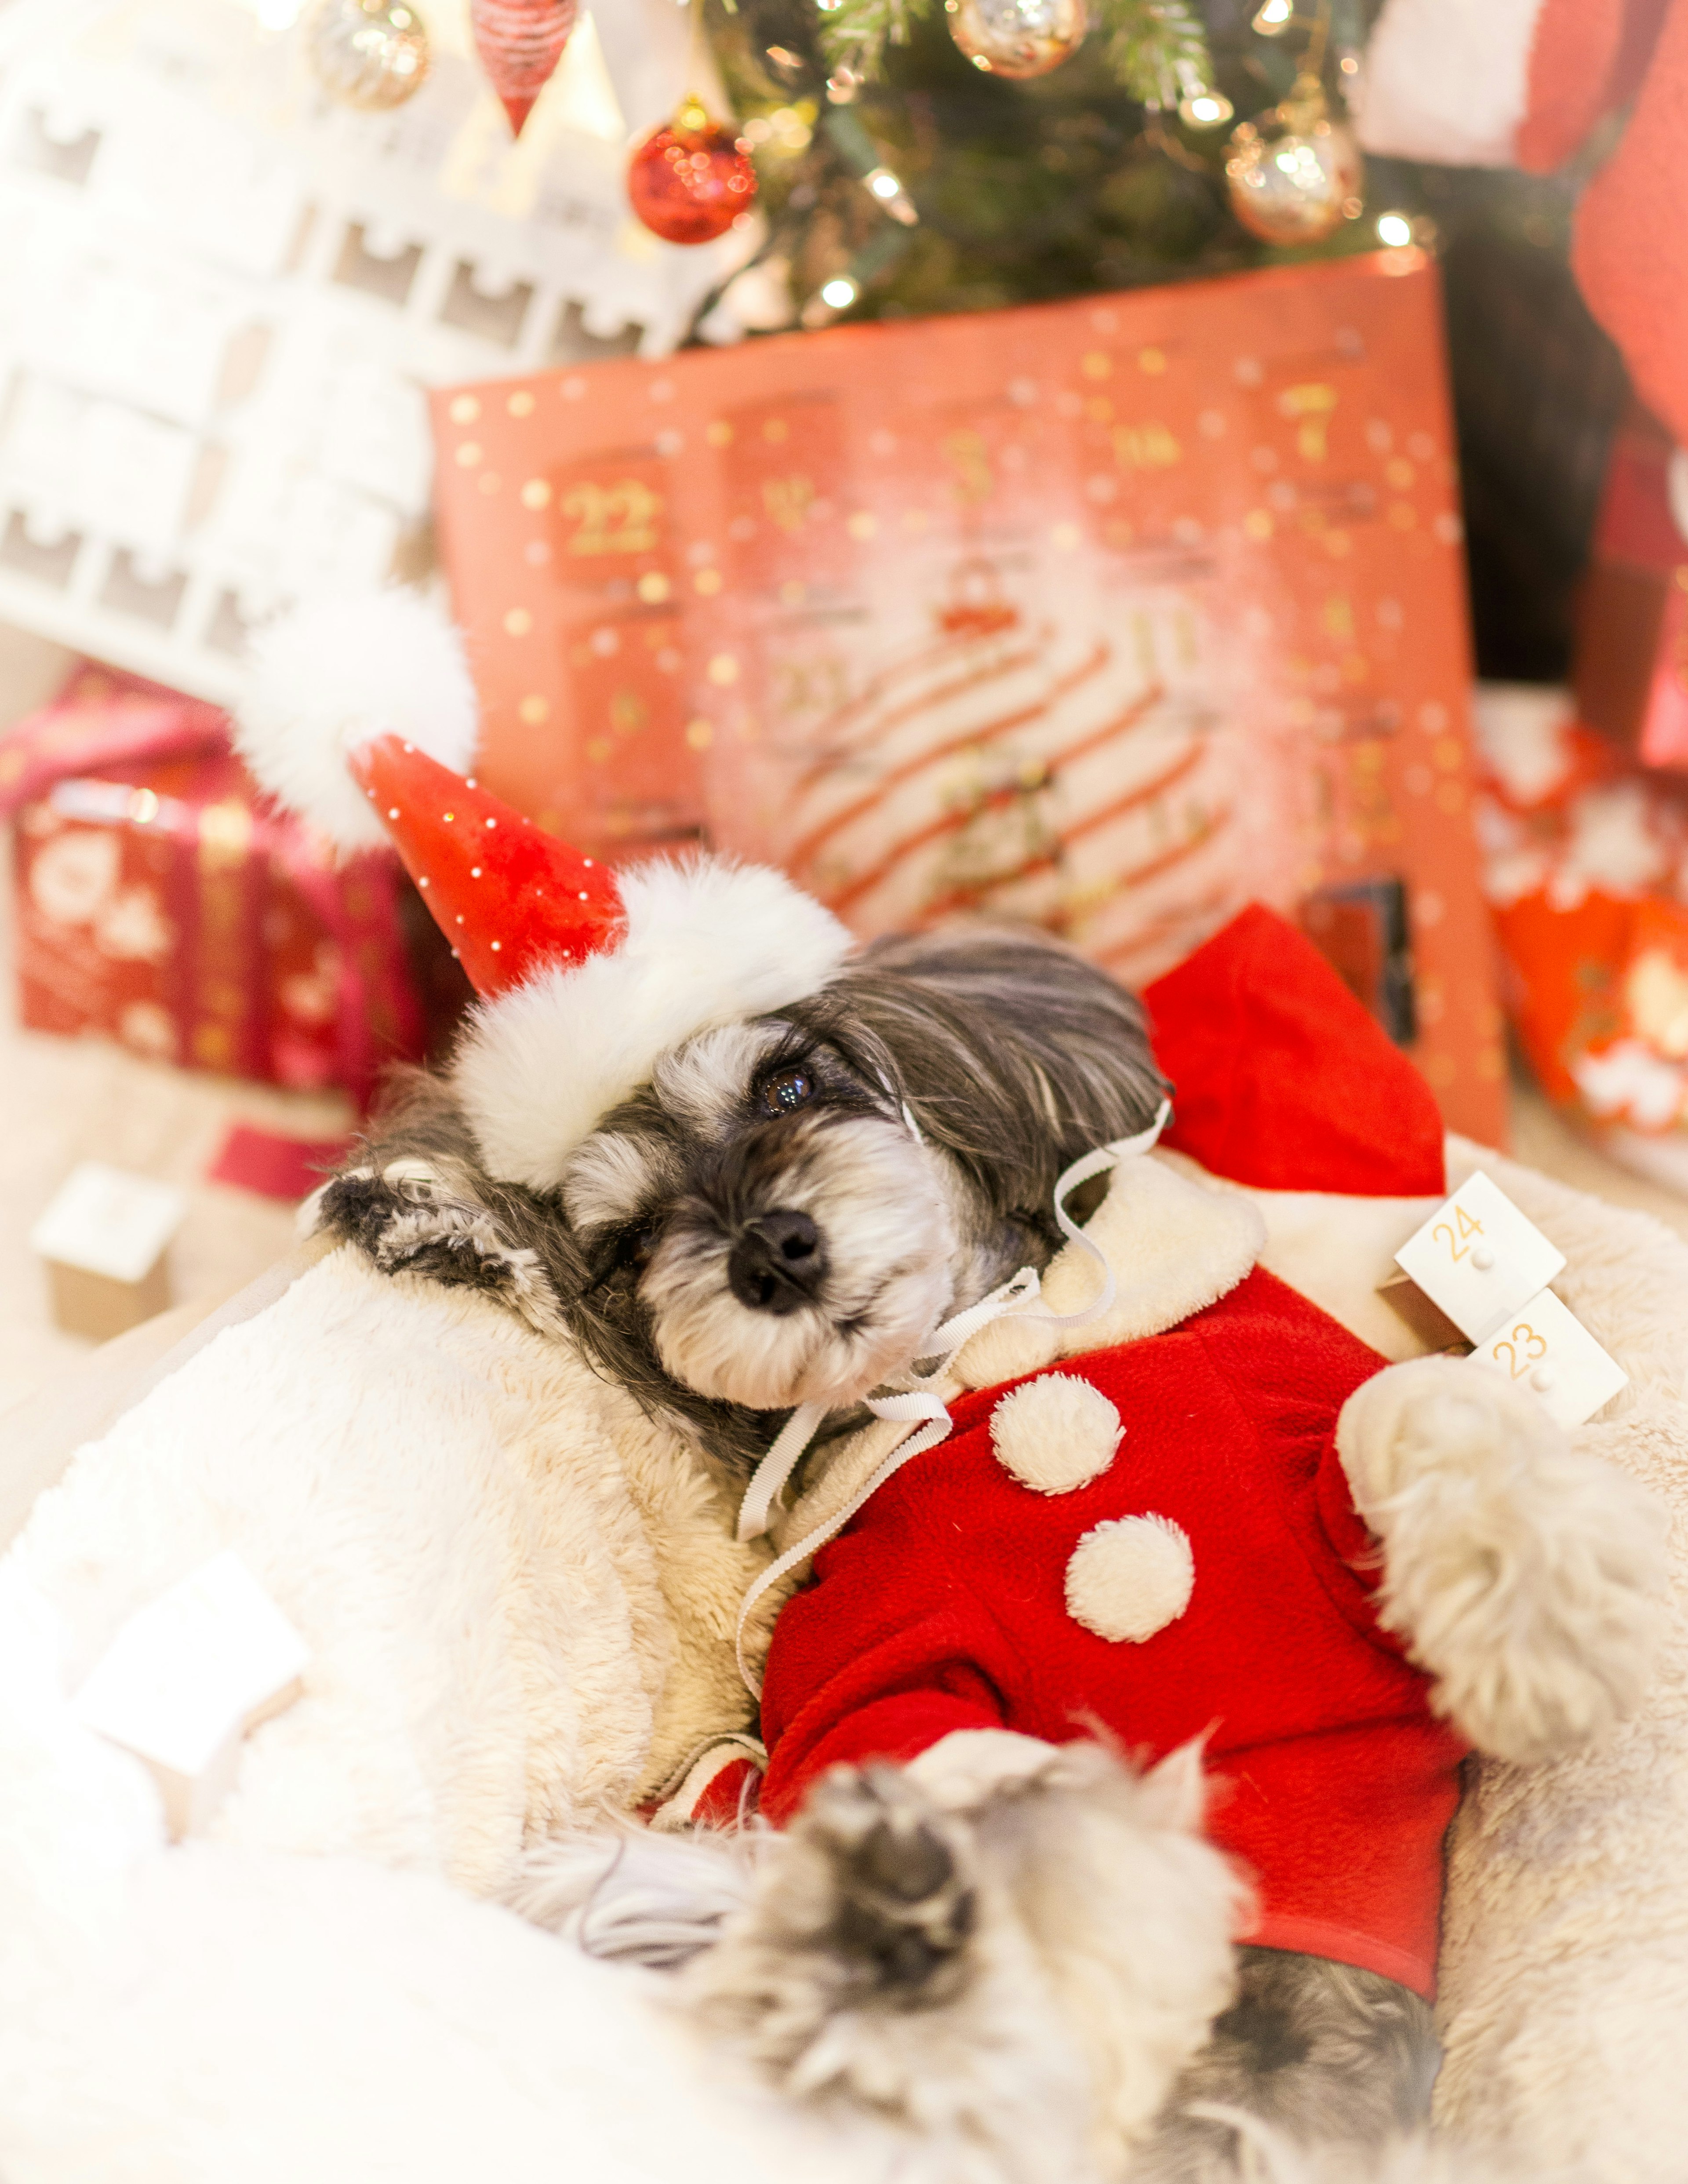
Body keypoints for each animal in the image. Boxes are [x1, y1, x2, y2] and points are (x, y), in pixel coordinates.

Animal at [319, 913, 1659, 2175]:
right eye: (632, 1242)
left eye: (789, 1087)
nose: (771, 1253)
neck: (969, 1361)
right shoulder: (871, 1662)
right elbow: (941, 1765)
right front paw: (428, 1212)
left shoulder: (1307, 1423)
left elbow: (1416, 1410)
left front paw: (1553, 1651)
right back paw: (883, 1924)